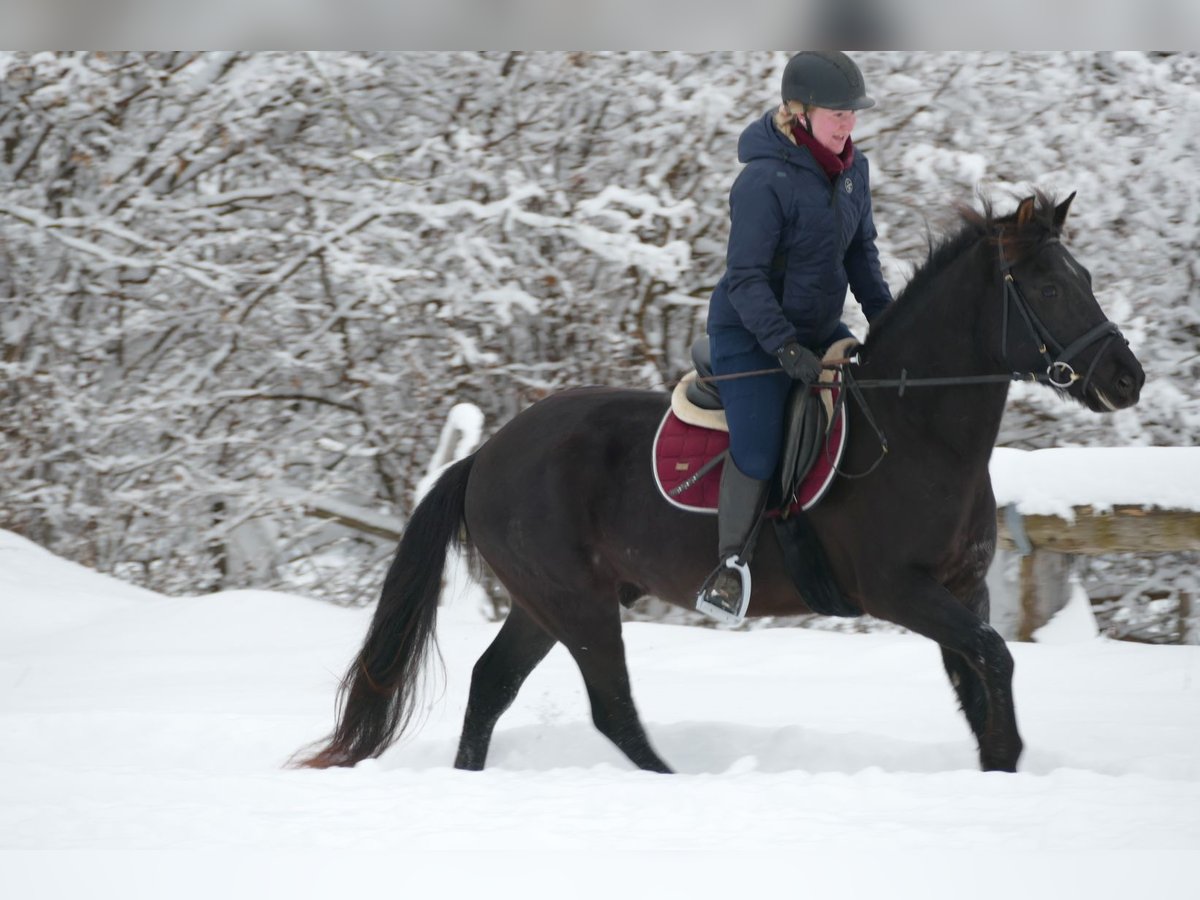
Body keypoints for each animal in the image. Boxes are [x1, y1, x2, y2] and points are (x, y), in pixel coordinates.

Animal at [297, 195, 1142, 777]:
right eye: (1048, 286)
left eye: (1084, 277)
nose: (1126, 378)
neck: (913, 431)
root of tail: (486, 455)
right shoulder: (897, 592)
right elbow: (995, 662)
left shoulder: (962, 591)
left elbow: (980, 681)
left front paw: (1002, 767)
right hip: (578, 602)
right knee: (612, 710)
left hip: (544, 603)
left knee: (490, 685)